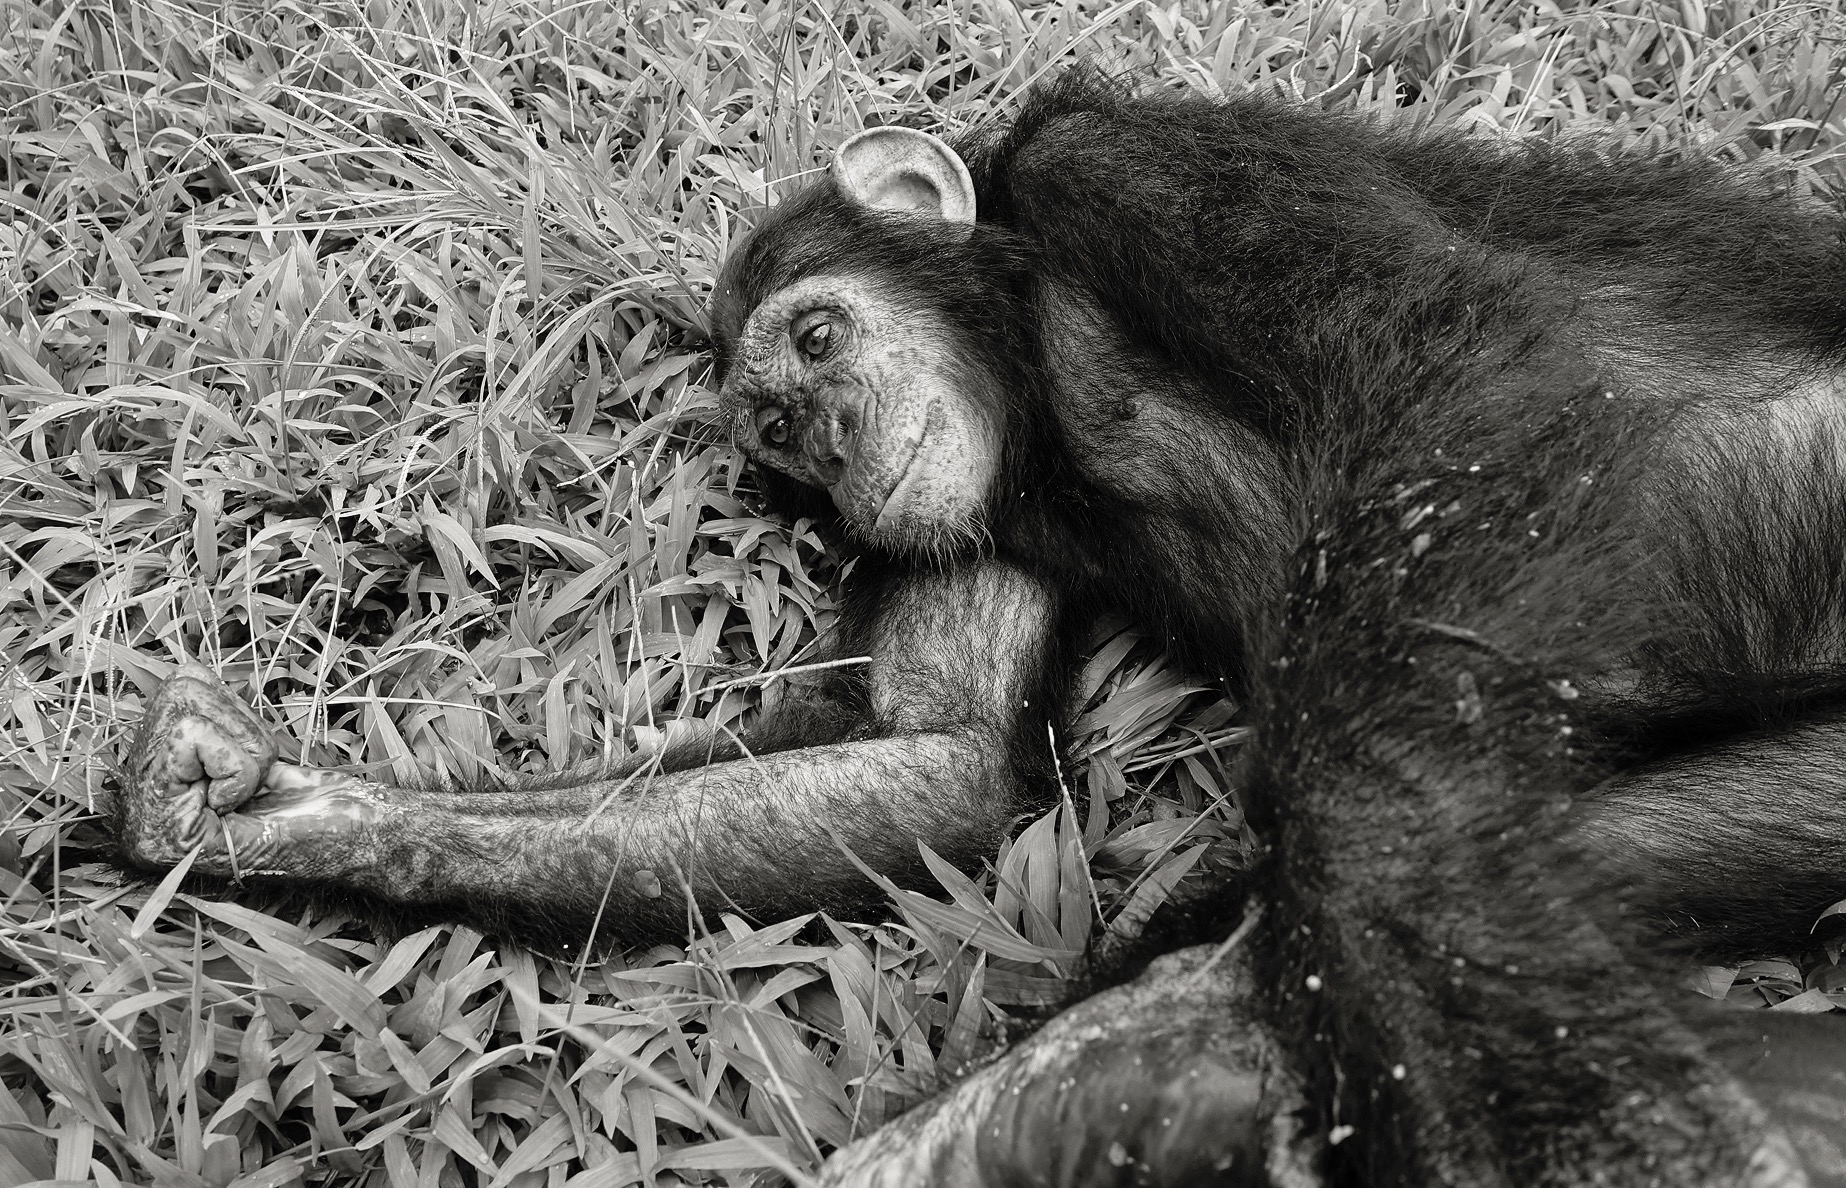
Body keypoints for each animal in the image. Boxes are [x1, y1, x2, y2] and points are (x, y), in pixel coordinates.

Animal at [115, 69, 1846, 1180]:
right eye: (777, 433)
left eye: (818, 338)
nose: (831, 436)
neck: (1039, 347)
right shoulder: (970, 498)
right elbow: (937, 754)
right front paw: (260, 807)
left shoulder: (1139, 172)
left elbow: (1486, 363)